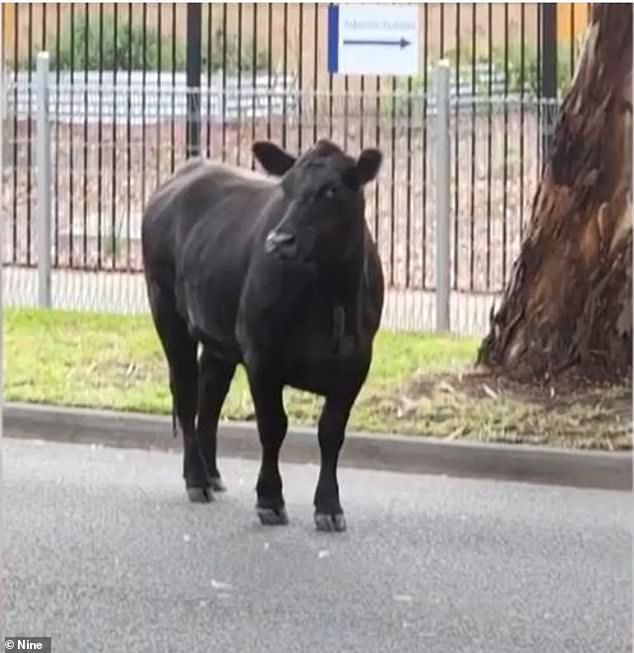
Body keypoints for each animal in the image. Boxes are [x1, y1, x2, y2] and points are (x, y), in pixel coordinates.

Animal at [141, 138, 382, 528]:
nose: (279, 240)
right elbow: (273, 427)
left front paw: (329, 506)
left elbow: (331, 433)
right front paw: (270, 499)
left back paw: (212, 473)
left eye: (332, 190)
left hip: (219, 335)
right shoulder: (262, 356)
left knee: (210, 394)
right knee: (187, 393)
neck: (330, 295)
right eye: (285, 187)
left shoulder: (357, 362)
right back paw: (196, 479)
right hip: (167, 311)